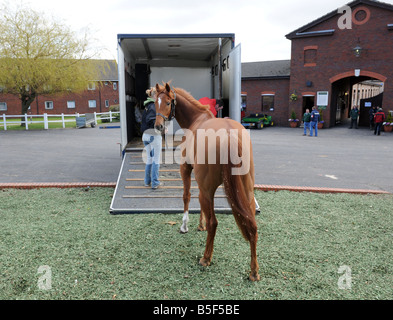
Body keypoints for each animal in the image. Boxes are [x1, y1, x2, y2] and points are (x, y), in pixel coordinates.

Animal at [154, 83, 260, 282]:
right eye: (154, 102)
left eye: (167, 102)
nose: (158, 126)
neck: (196, 120)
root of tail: (229, 135)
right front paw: (199, 225)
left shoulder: (186, 169)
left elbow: (187, 196)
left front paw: (185, 226)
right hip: (247, 190)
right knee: (253, 225)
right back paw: (254, 271)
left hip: (208, 189)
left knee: (214, 223)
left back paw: (206, 258)